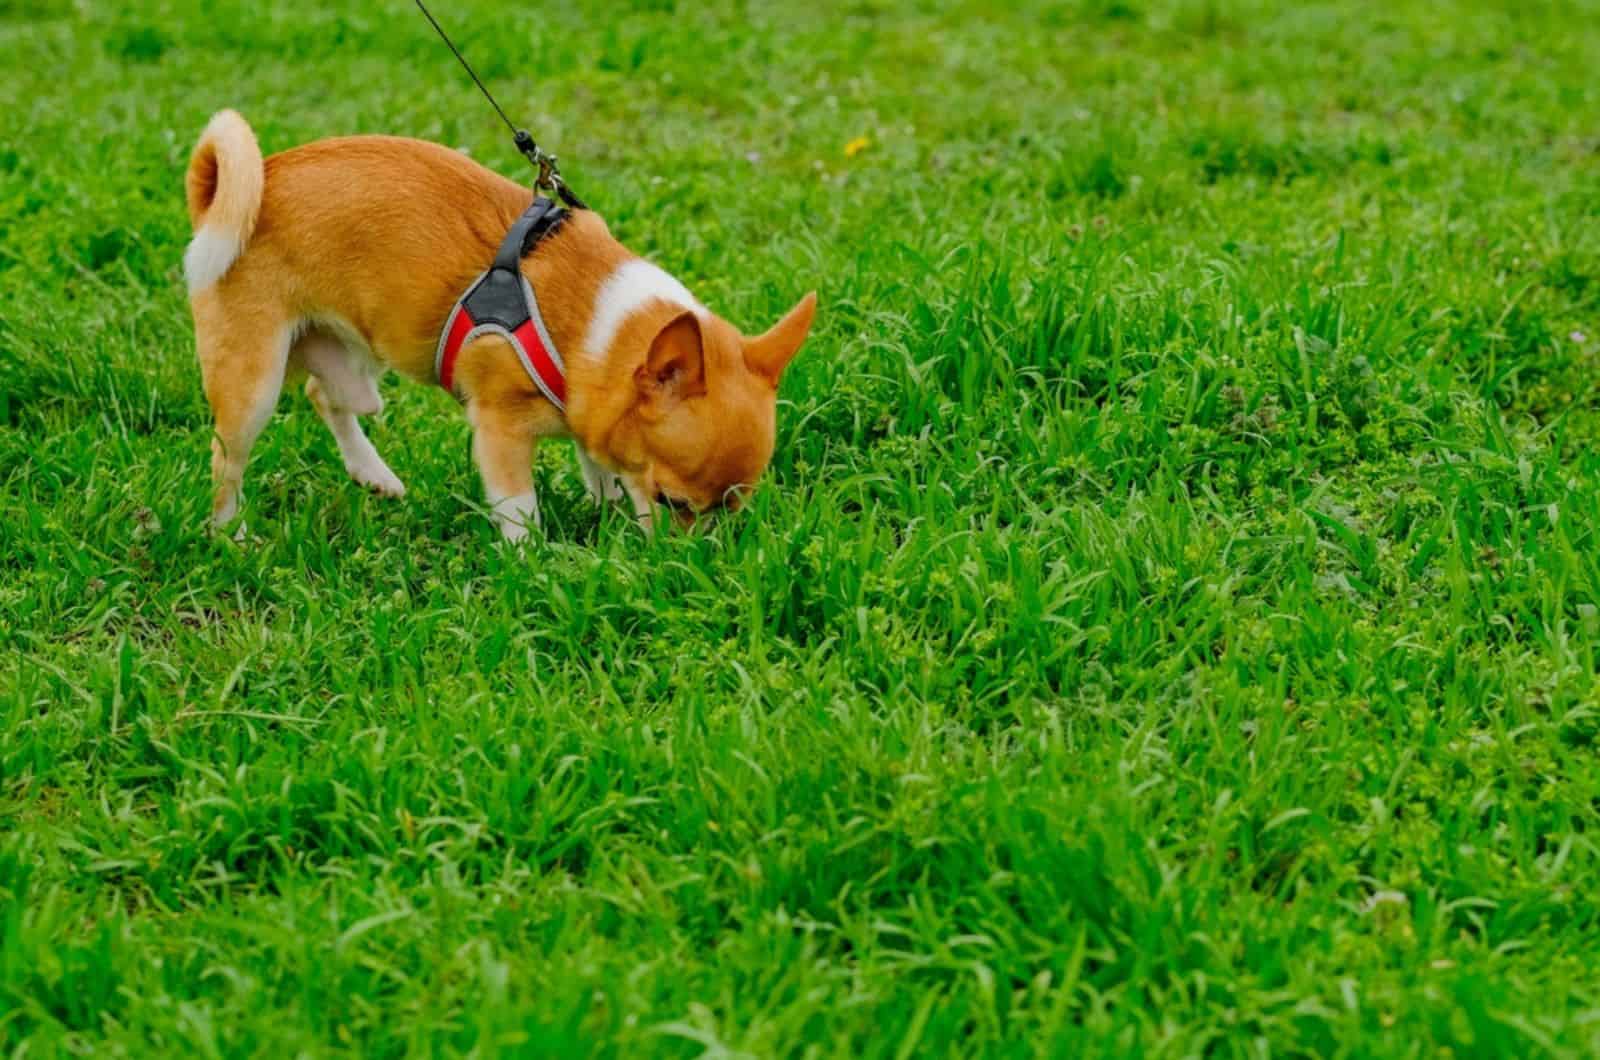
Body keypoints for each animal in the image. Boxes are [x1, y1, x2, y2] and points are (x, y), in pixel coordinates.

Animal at [181, 112, 819, 541]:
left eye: (732, 510)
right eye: (671, 503)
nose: (692, 560)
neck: (593, 323)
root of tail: (241, 187)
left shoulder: (590, 418)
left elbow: (601, 467)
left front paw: (606, 510)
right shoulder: (500, 428)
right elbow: (519, 508)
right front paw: (532, 566)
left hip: (357, 346)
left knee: (326, 394)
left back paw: (372, 472)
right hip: (254, 379)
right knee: (227, 458)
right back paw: (230, 534)